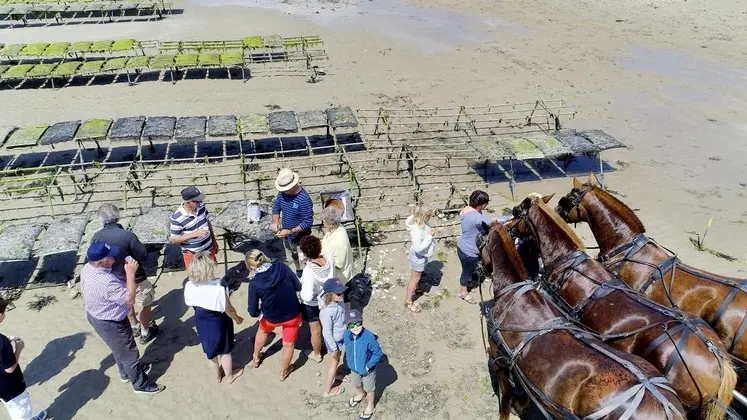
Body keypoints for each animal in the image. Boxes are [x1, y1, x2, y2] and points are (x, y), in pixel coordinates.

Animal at [476, 221, 688, 418]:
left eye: (480, 243)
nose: (477, 271)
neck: (514, 291)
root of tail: (665, 408)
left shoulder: (498, 358)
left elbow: (504, 399)